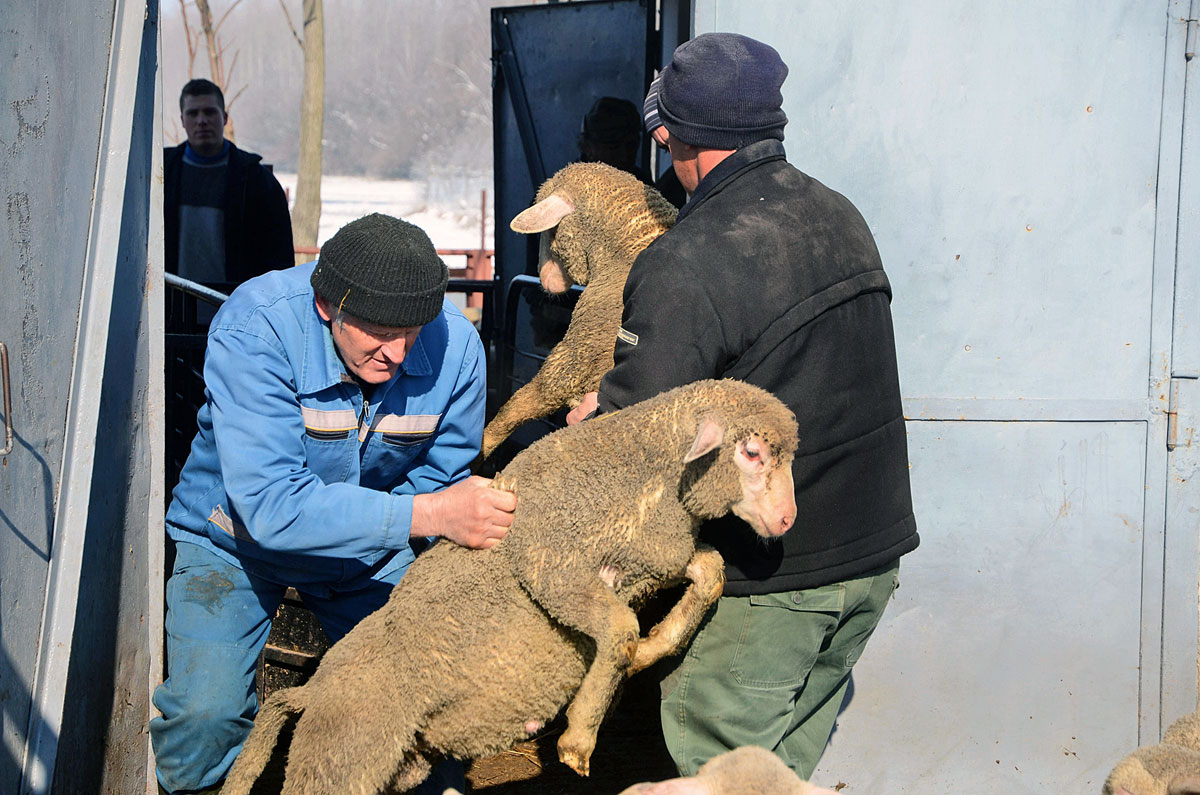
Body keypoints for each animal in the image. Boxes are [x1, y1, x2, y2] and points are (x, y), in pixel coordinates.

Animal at [220, 379, 801, 795]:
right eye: (752, 454)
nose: (788, 520)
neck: (640, 476)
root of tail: (308, 691)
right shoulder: (552, 568)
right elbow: (619, 625)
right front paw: (579, 736)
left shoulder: (657, 557)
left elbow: (711, 573)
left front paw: (651, 649)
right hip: (340, 761)